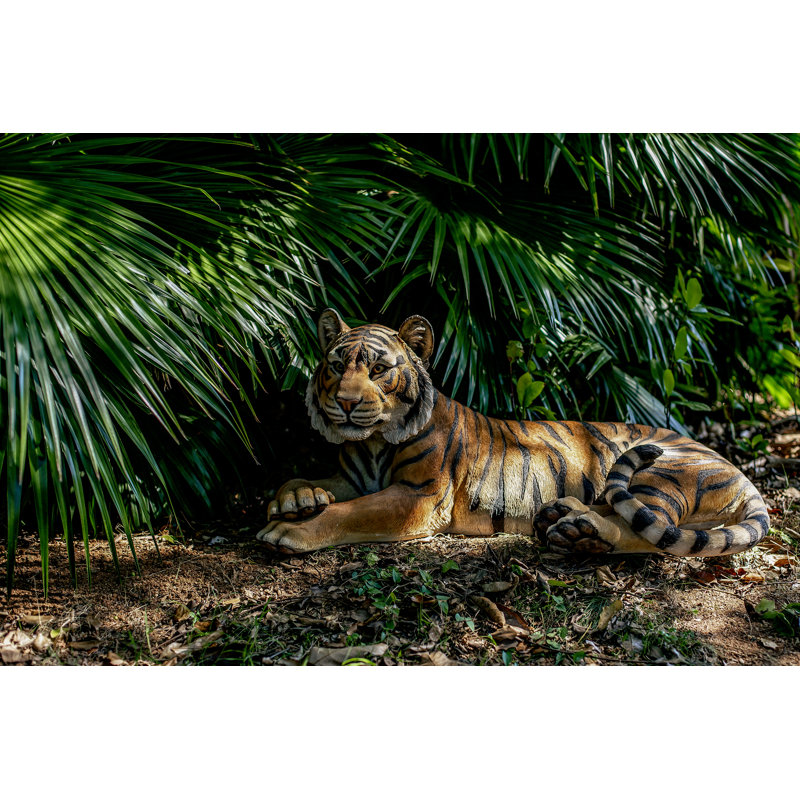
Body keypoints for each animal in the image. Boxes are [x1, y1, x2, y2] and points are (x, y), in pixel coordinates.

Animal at [256, 309, 770, 558]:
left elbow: (350, 512)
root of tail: (740, 472)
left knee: (650, 533)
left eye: (380, 370)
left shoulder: (419, 496)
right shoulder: (356, 477)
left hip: (663, 472)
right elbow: (305, 480)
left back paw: (579, 529)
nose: (344, 402)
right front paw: (295, 499)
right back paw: (565, 519)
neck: (373, 441)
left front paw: (288, 530)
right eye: (336, 366)